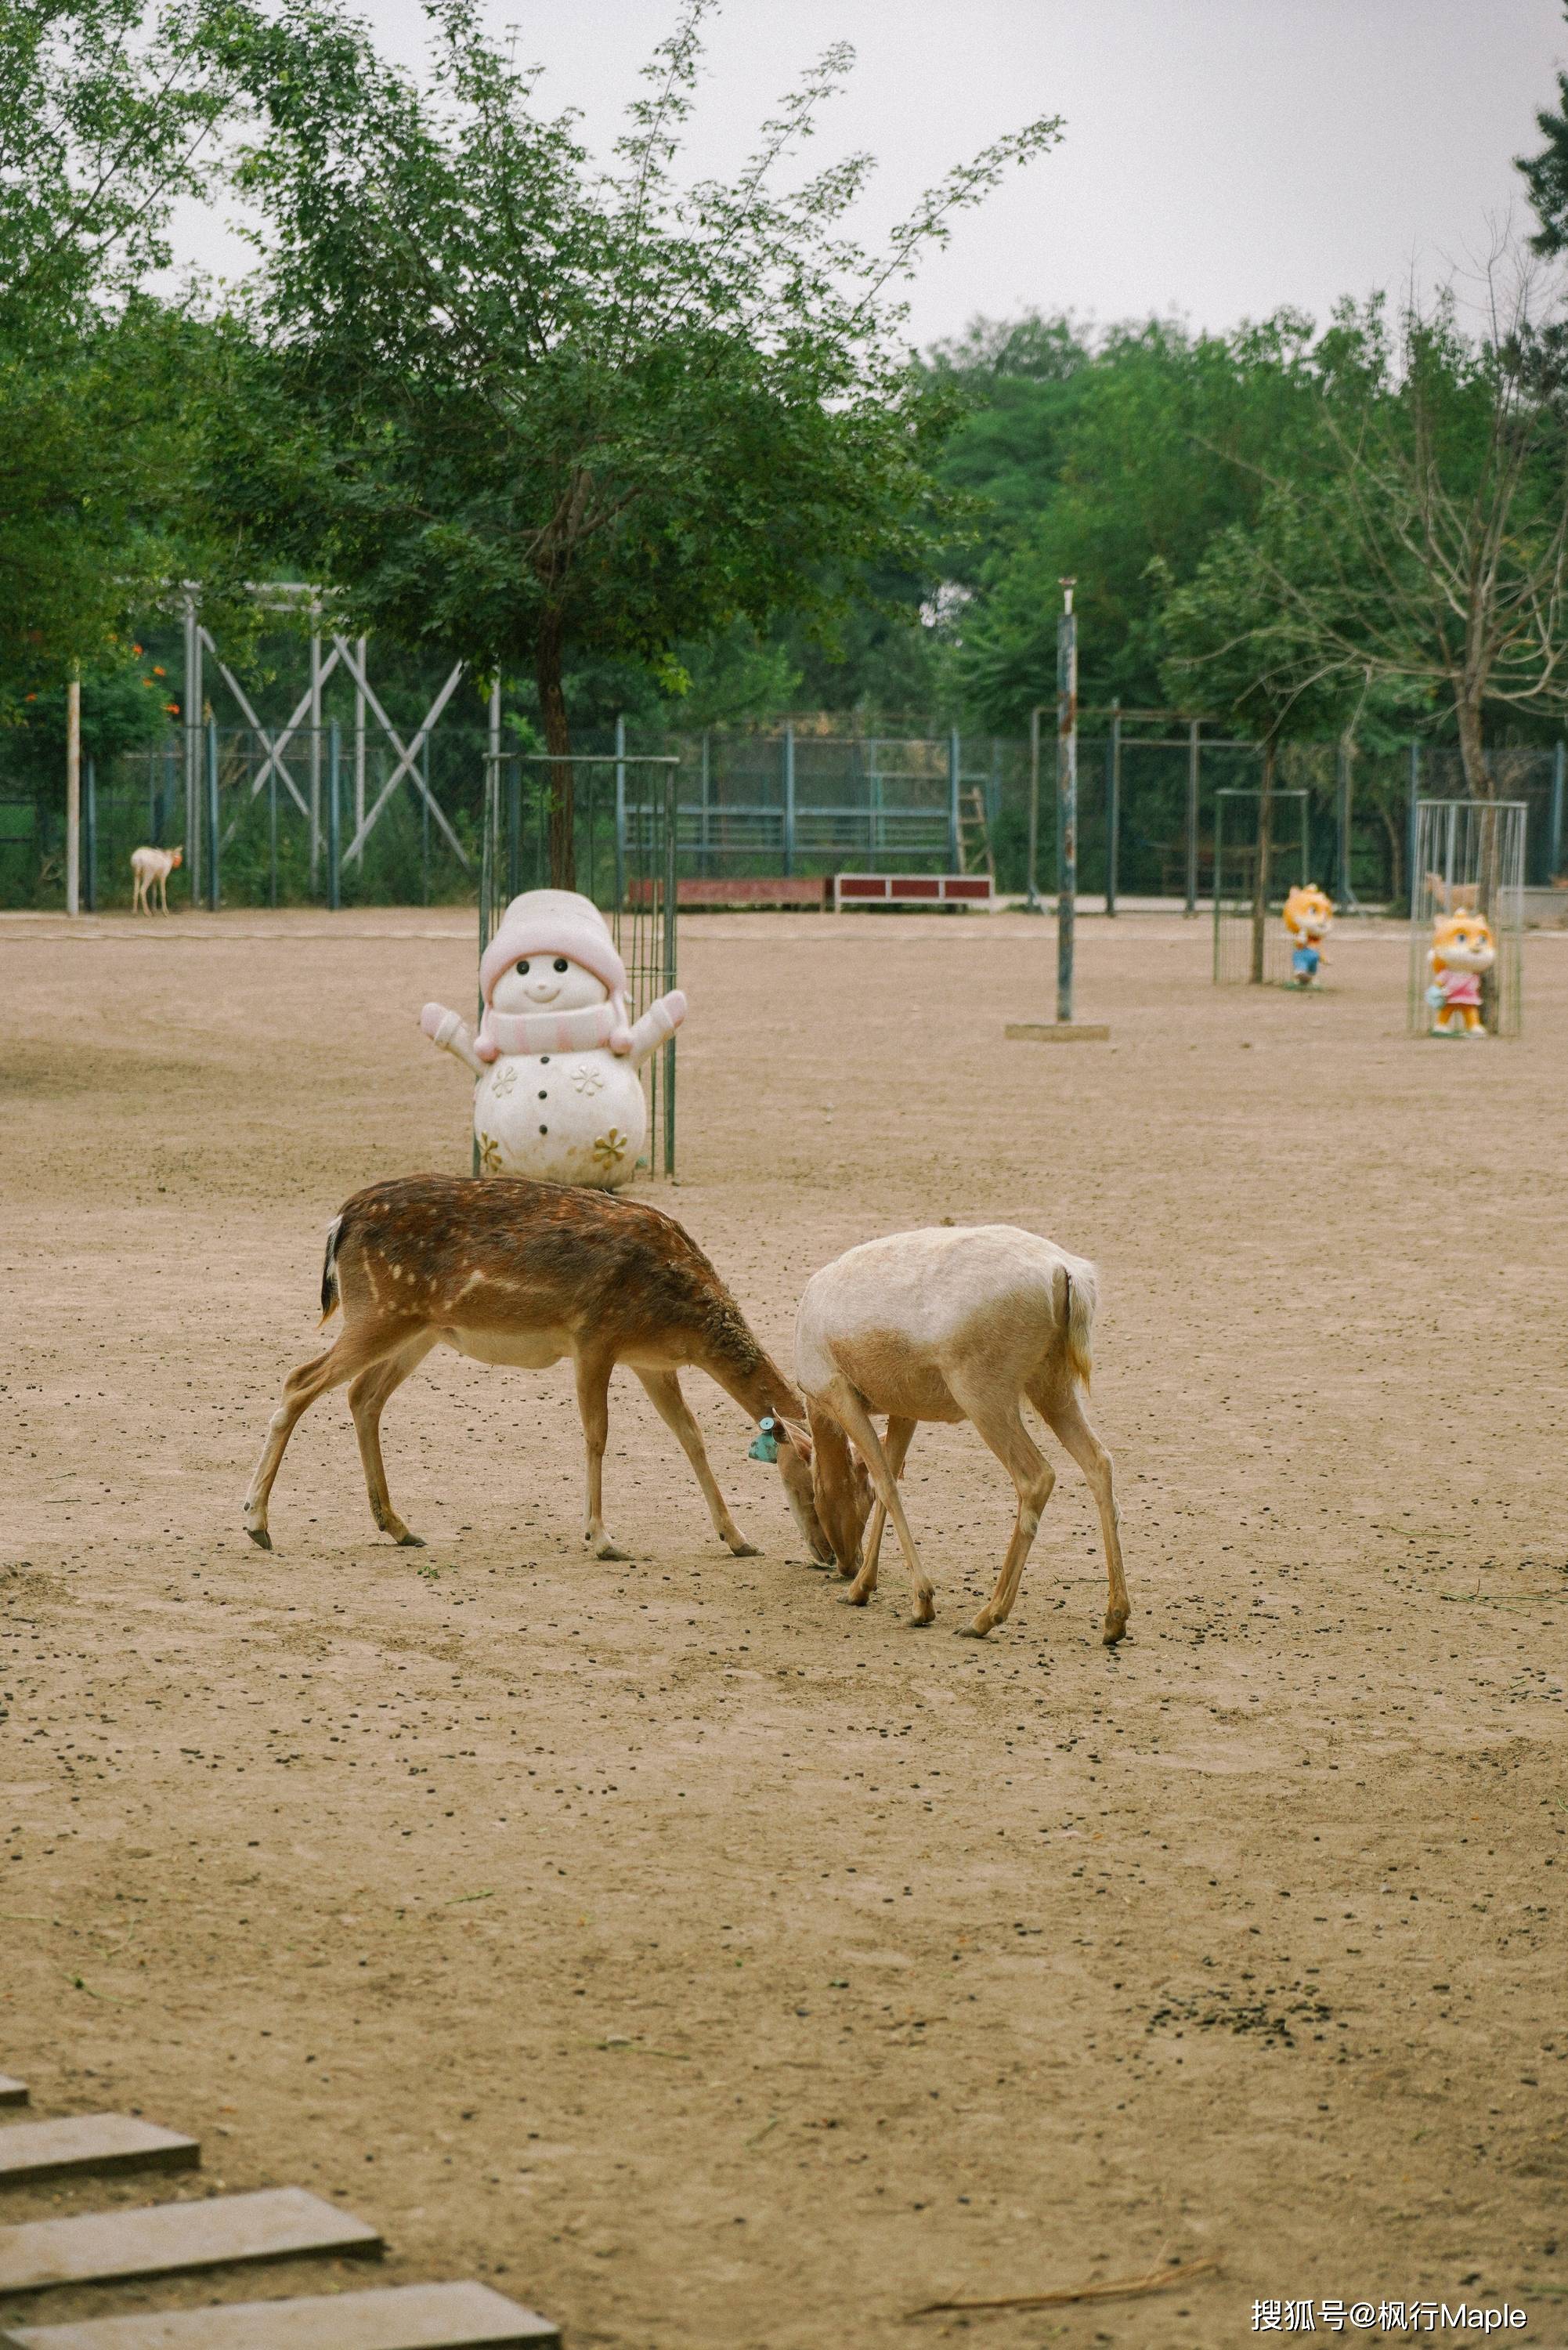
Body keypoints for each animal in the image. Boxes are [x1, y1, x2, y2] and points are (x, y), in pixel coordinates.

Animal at [242, 1166, 832, 1570]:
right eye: (816, 1484)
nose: (828, 1554)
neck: (680, 1325)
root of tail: (340, 1221)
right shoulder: (595, 1337)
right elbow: (597, 1433)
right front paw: (602, 1538)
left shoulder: (651, 1362)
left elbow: (691, 1437)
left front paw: (738, 1538)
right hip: (380, 1311)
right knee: (299, 1381)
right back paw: (257, 1523)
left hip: (419, 1329)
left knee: (363, 1395)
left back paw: (400, 1527)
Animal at [785, 1222, 1128, 1645]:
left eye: (810, 1494)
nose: (838, 1561)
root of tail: (1064, 1270)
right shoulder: (903, 1408)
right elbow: (889, 1477)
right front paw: (863, 1588)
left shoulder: (838, 1391)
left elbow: (885, 1483)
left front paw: (921, 1604)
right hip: (1053, 1385)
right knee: (1099, 1461)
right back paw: (1114, 1620)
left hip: (983, 1394)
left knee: (1037, 1476)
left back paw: (984, 1618)